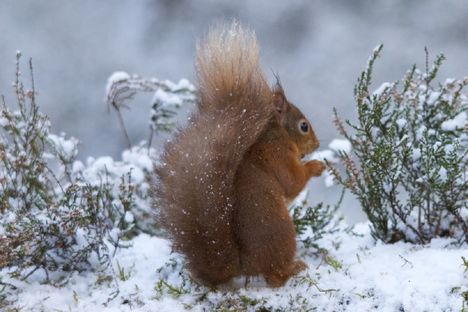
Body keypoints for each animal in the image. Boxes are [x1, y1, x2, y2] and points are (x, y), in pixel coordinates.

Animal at [154, 22, 326, 288]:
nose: (317, 145)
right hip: (283, 234)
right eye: (303, 126)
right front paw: (316, 166)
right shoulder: (278, 155)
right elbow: (292, 183)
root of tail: (242, 265)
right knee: (274, 276)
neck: (276, 134)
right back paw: (294, 269)